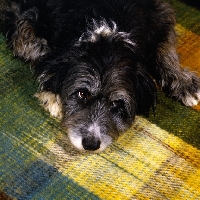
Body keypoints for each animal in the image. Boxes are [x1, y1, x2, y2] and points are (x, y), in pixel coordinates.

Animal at [0, 0, 200, 152]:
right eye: (82, 94)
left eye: (116, 103)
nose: (90, 144)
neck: (107, 32)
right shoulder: (23, 20)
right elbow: (37, 51)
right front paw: (53, 94)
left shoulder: (160, 13)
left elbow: (166, 48)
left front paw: (183, 82)